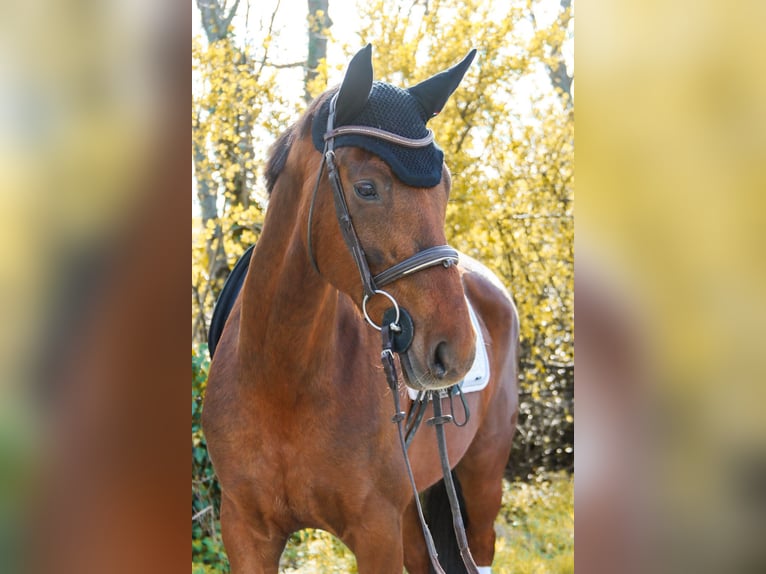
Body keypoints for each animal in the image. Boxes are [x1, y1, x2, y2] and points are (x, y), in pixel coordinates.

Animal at [203, 44, 519, 574]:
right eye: (367, 188)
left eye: (445, 187)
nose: (455, 350)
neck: (281, 379)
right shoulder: (245, 531)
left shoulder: (376, 532)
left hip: (481, 484)